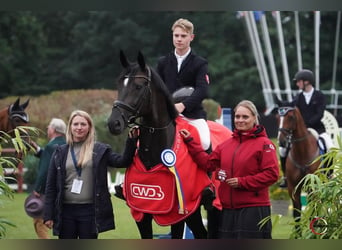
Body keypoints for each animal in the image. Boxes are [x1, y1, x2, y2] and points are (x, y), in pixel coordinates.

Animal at [276, 103, 322, 234]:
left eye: (291, 117)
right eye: (277, 118)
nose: (281, 142)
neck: (302, 152)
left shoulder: (313, 186)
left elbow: (312, 209)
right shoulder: (293, 187)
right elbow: (296, 214)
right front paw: (298, 234)